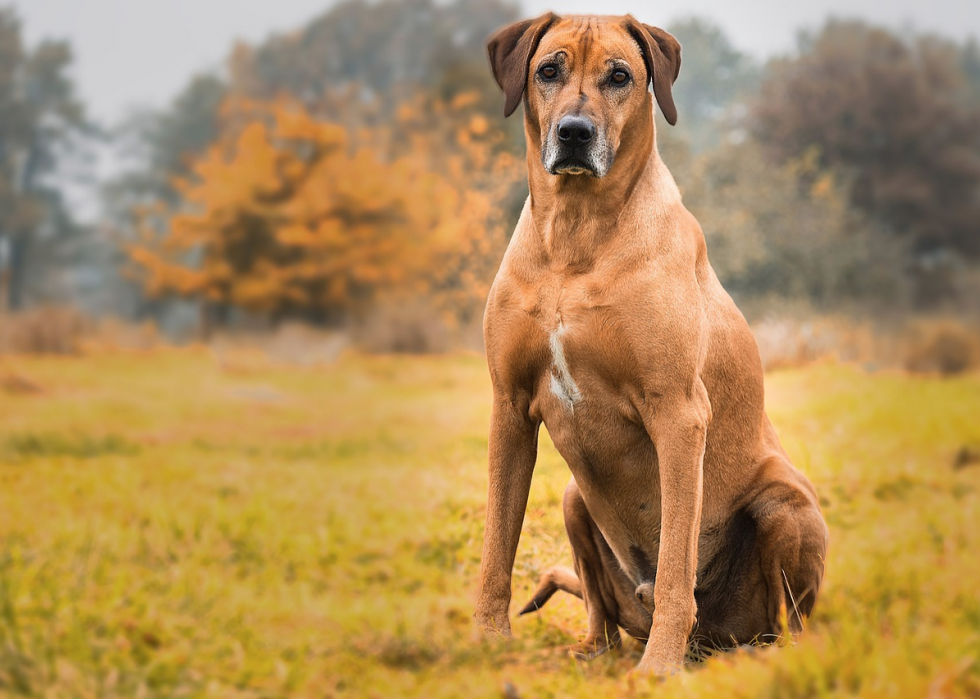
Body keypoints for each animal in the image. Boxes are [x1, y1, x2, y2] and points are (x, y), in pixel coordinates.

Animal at [474, 13, 828, 676]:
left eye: (620, 77)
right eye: (548, 70)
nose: (575, 132)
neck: (577, 234)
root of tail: (714, 642)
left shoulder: (680, 414)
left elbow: (674, 568)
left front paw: (660, 669)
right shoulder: (509, 405)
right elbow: (496, 546)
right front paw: (484, 643)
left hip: (785, 505)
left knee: (786, 622)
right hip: (574, 499)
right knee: (601, 612)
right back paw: (592, 650)